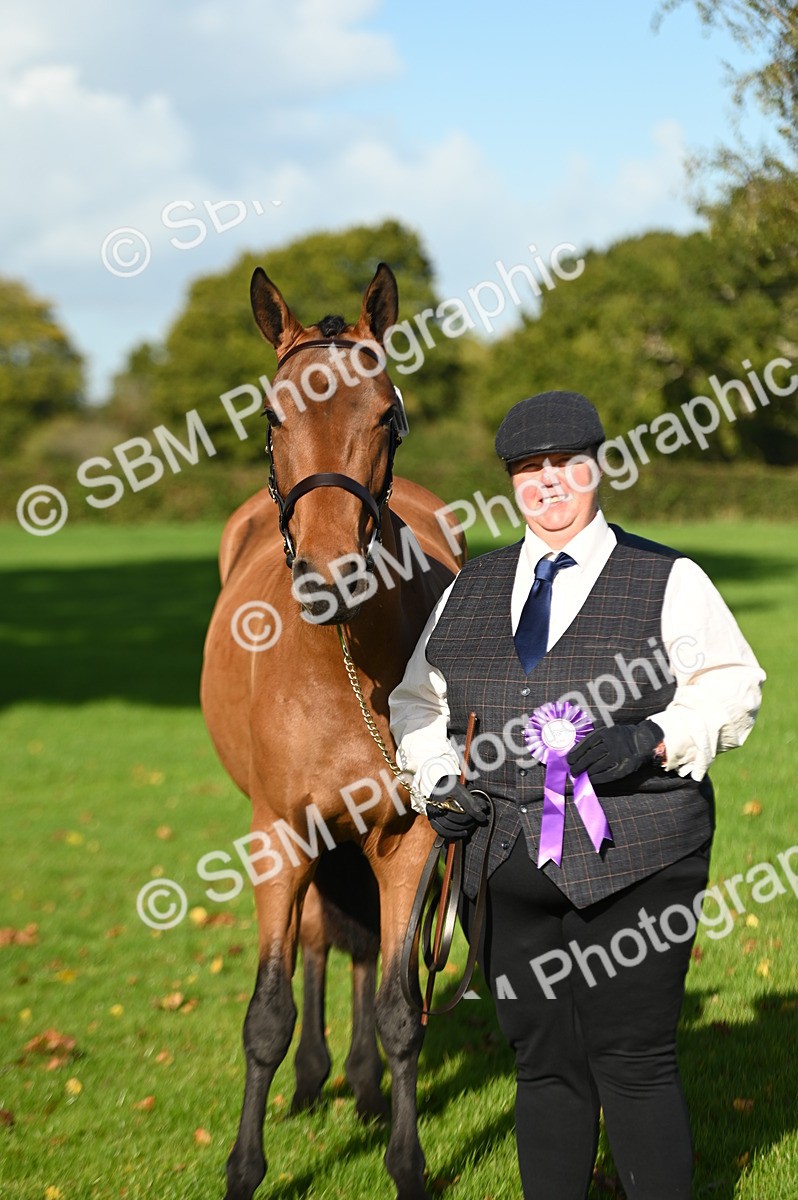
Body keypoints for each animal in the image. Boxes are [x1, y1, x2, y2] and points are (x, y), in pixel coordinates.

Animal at [200, 260, 465, 1200]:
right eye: (271, 417)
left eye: (388, 413)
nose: (330, 573)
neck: (343, 665)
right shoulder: (278, 835)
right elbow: (266, 1013)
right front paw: (245, 1168)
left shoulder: (414, 834)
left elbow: (399, 1008)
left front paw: (408, 1162)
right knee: (319, 938)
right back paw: (318, 1077)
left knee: (354, 944)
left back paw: (356, 1083)